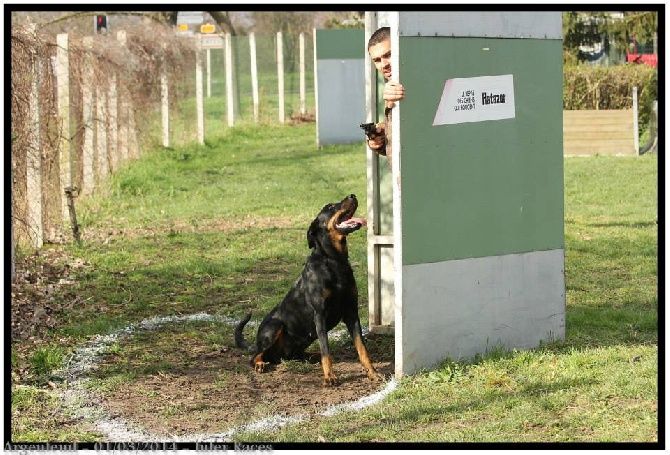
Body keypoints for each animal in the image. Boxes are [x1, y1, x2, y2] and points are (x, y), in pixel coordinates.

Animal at [236, 194, 384, 386]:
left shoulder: (351, 312)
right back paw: (260, 363)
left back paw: (311, 356)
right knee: (255, 355)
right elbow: (326, 350)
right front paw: (330, 376)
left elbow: (362, 348)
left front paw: (372, 373)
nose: (352, 195)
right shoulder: (319, 314)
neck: (334, 261)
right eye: (330, 207)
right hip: (274, 326)